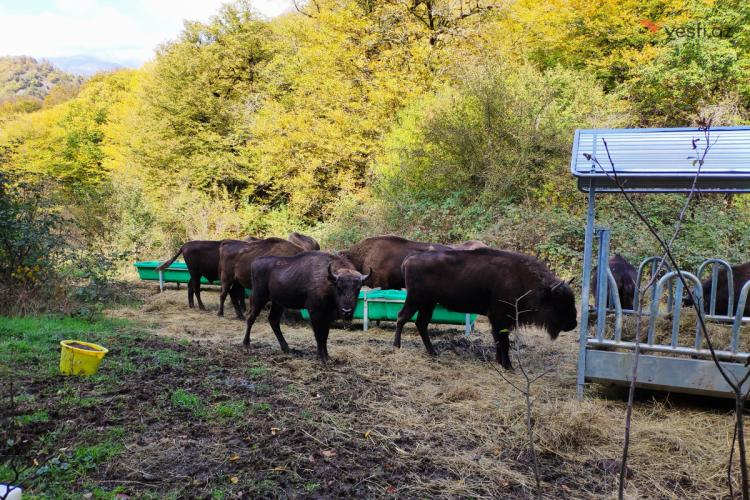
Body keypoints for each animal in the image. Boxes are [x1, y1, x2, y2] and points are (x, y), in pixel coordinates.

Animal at [396, 248, 580, 370]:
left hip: (428, 303)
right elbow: (503, 342)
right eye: (560, 303)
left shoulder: (498, 320)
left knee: (421, 323)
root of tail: (410, 258)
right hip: (415, 299)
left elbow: (498, 340)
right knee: (402, 317)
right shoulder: (501, 318)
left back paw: (433, 352)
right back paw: (396, 346)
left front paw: (500, 361)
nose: (573, 324)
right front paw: (508, 366)